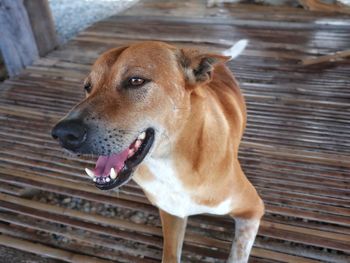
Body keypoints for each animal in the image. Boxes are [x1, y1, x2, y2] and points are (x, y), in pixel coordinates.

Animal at [52, 40, 264, 262]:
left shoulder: (252, 209)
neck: (169, 164)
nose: (63, 133)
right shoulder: (171, 213)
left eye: (136, 81)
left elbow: (238, 254)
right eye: (88, 87)